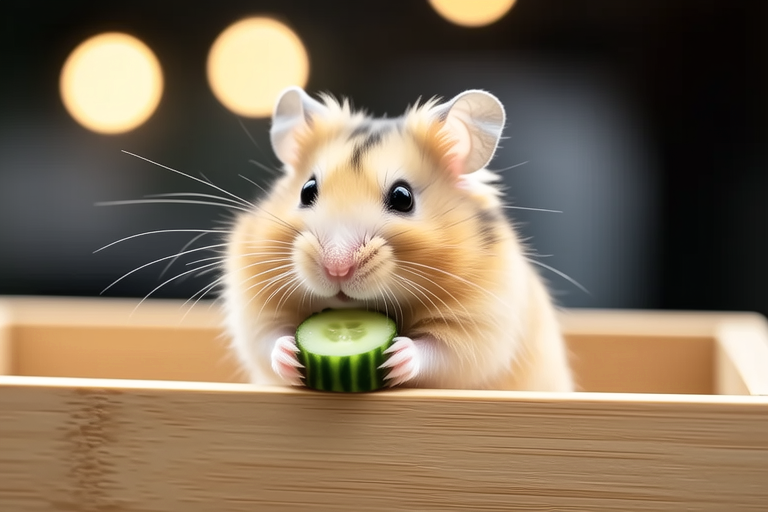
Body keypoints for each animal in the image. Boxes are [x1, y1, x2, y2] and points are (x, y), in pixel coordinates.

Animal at [222, 86, 574, 391]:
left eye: (403, 198)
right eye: (307, 191)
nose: (336, 269)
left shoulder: (483, 326)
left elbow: (443, 353)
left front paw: (396, 356)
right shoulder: (253, 306)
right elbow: (267, 338)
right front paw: (289, 354)